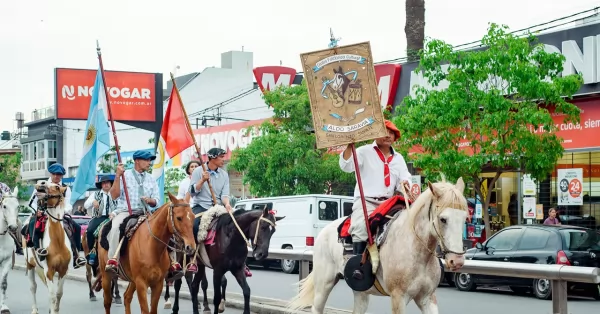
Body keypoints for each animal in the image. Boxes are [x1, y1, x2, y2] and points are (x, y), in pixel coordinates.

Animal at [24, 180, 73, 312]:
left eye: (57, 187)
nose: (41, 183)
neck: (58, 242)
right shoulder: (49, 270)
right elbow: (52, 296)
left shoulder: (63, 270)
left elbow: (58, 294)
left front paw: (54, 309)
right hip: (30, 264)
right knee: (33, 287)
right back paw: (34, 310)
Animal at [286, 178, 468, 314]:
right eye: (443, 219)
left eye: (465, 218)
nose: (457, 261)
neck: (418, 253)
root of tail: (325, 230)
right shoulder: (398, 297)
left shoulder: (427, 298)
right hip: (324, 283)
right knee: (317, 307)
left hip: (360, 292)